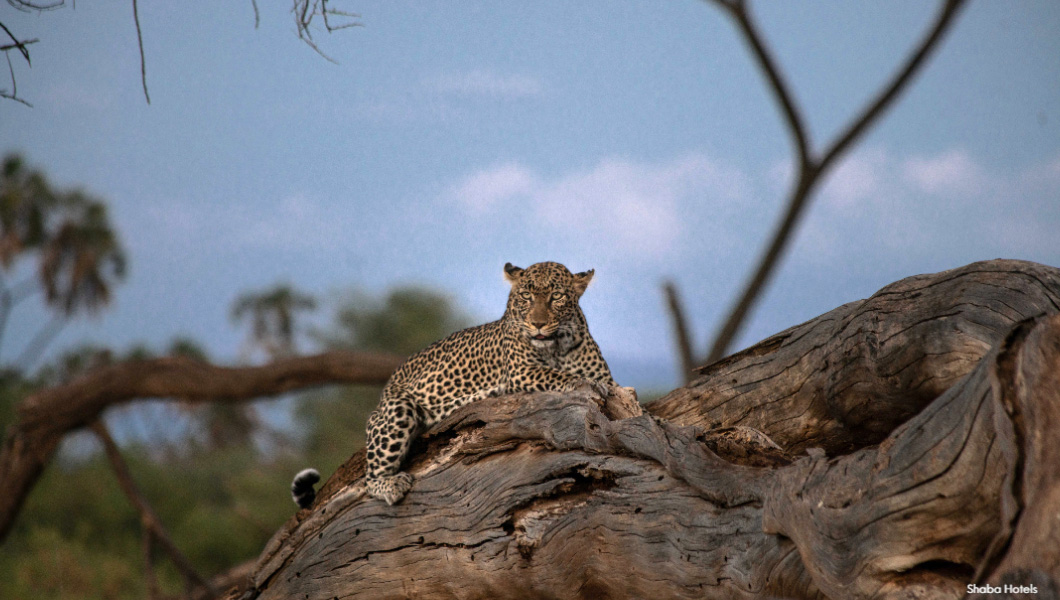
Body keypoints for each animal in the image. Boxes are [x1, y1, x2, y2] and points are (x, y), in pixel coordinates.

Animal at [294, 260, 619, 510]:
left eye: (557, 297)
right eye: (526, 296)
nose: (537, 324)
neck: (557, 345)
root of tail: (388, 385)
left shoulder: (607, 377)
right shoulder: (520, 372)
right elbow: (559, 377)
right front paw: (584, 384)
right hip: (398, 409)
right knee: (370, 478)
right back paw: (390, 484)